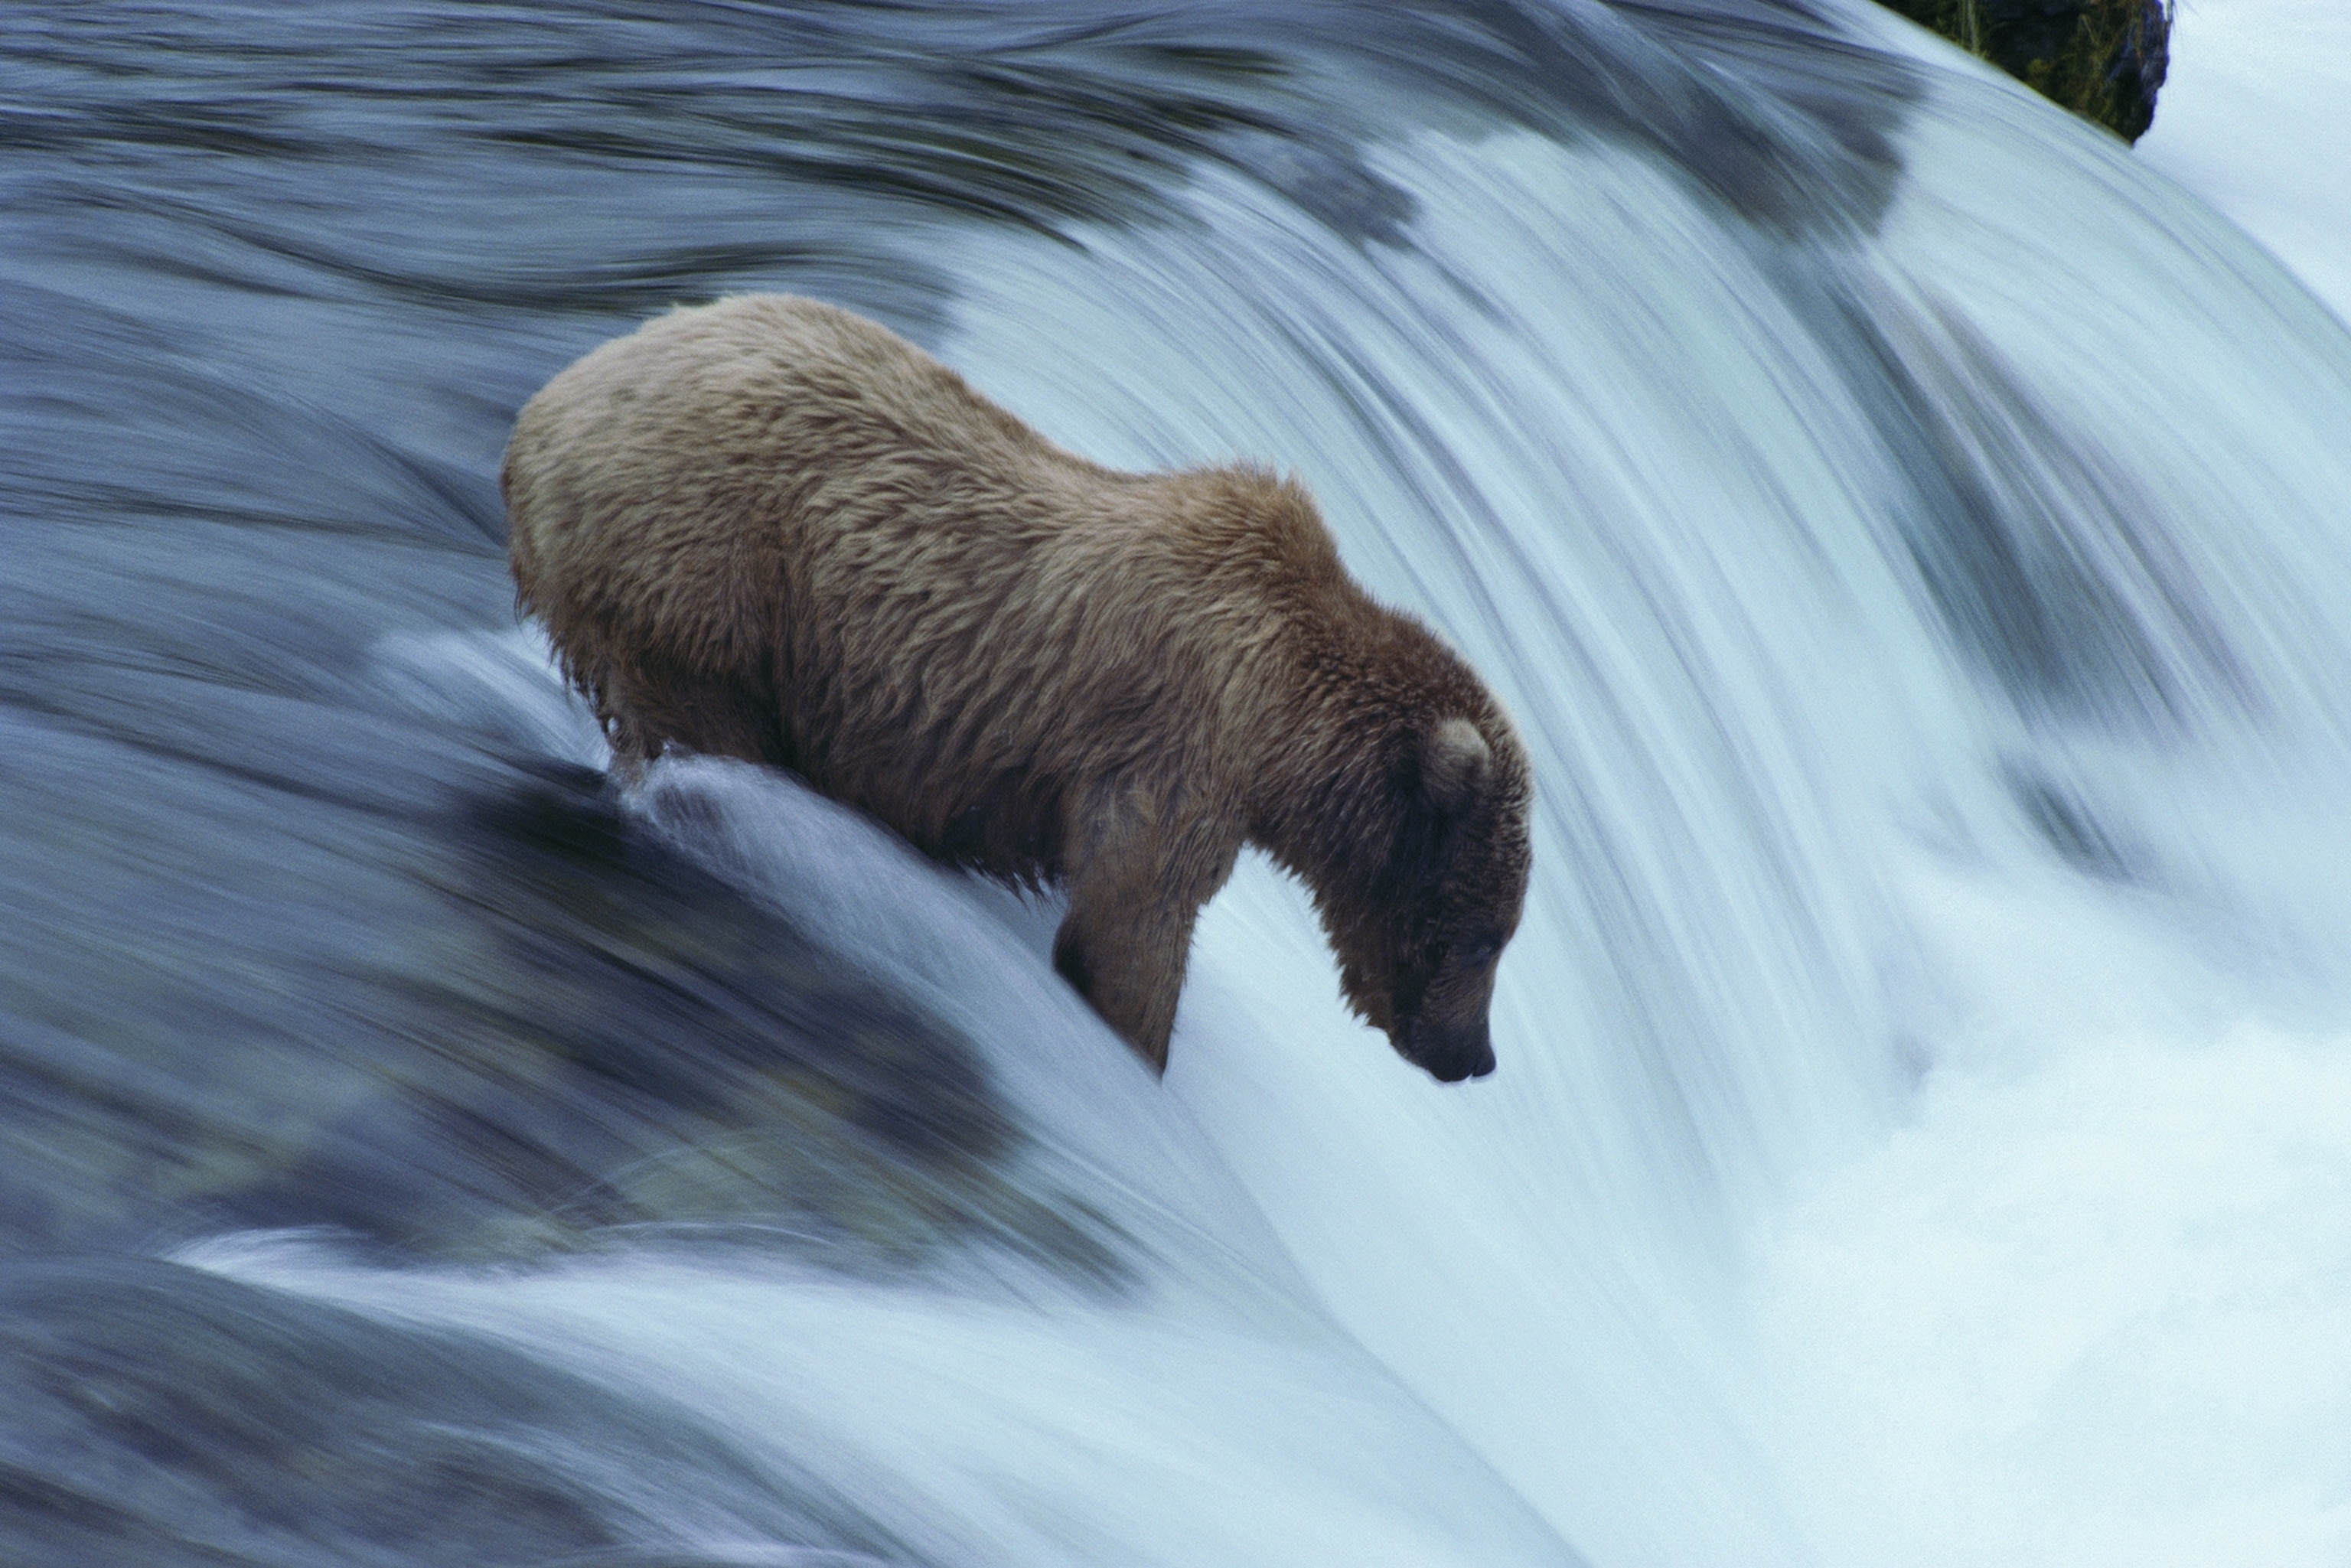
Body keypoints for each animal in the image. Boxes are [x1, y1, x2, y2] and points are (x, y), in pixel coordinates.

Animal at [502, 294, 1530, 1082]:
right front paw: (1137, 1053)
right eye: (1487, 936)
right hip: (704, 583)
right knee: (715, 735)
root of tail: (548, 406)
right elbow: (1132, 922)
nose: (1472, 1057)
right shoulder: (1181, 746)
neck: (1288, 739)